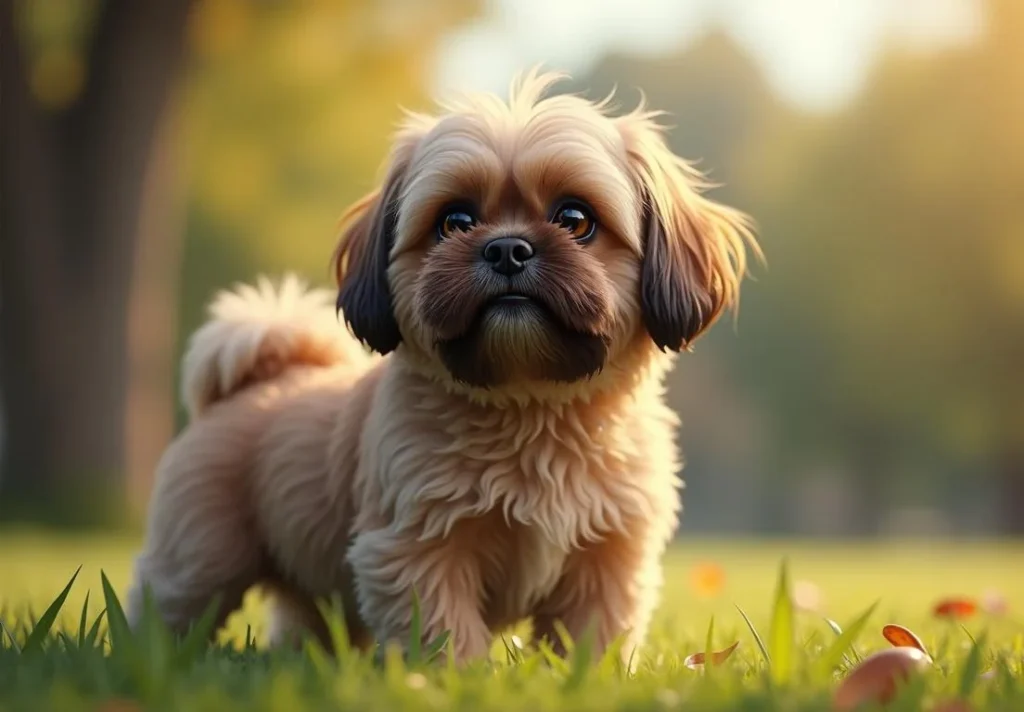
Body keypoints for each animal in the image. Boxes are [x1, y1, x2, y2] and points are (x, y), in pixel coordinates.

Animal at [125, 69, 761, 663]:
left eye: (576, 219)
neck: (531, 408)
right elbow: (444, 636)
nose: (507, 248)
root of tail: (262, 377)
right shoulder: (415, 548)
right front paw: (453, 680)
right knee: (171, 603)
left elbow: (589, 639)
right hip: (201, 556)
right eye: (454, 222)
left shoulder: (607, 555)